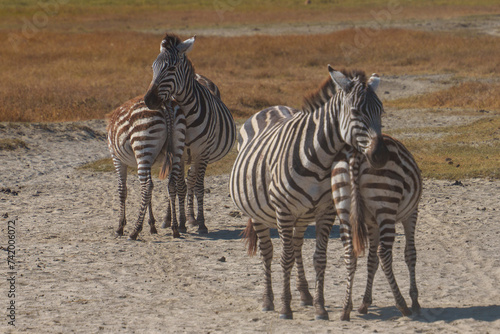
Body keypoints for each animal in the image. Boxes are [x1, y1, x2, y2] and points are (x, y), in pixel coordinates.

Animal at [106, 96, 177, 240]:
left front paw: (120, 226)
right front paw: (152, 225)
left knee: (147, 185)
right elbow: (149, 193)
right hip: (177, 148)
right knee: (170, 184)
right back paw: (175, 228)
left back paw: (135, 230)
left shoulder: (117, 159)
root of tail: (163, 104)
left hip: (142, 145)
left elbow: (122, 190)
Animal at [143, 32, 236, 234]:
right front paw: (180, 222)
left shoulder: (203, 152)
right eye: (153, 67)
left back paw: (193, 217)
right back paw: (169, 219)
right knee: (183, 182)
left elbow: (198, 186)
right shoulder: (178, 152)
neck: (186, 112)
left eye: (171, 68)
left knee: (192, 180)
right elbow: (179, 187)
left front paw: (200, 222)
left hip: (197, 155)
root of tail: (199, 75)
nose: (148, 100)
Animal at [231, 66, 390, 320]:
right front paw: (285, 308)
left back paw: (305, 294)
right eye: (356, 112)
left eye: (381, 111)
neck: (319, 160)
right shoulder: (284, 211)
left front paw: (320, 307)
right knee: (268, 252)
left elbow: (319, 258)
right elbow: (285, 258)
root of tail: (270, 107)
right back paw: (268, 300)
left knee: (296, 246)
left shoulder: (326, 211)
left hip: (303, 215)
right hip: (258, 212)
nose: (381, 156)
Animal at [332, 135, 422, 318]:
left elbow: (371, 261)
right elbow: (410, 254)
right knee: (384, 254)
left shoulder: (372, 224)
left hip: (343, 207)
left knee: (350, 253)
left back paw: (346, 308)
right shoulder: (411, 214)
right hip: (386, 205)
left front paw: (365, 302)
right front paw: (415, 300)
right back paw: (402, 304)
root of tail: (357, 154)